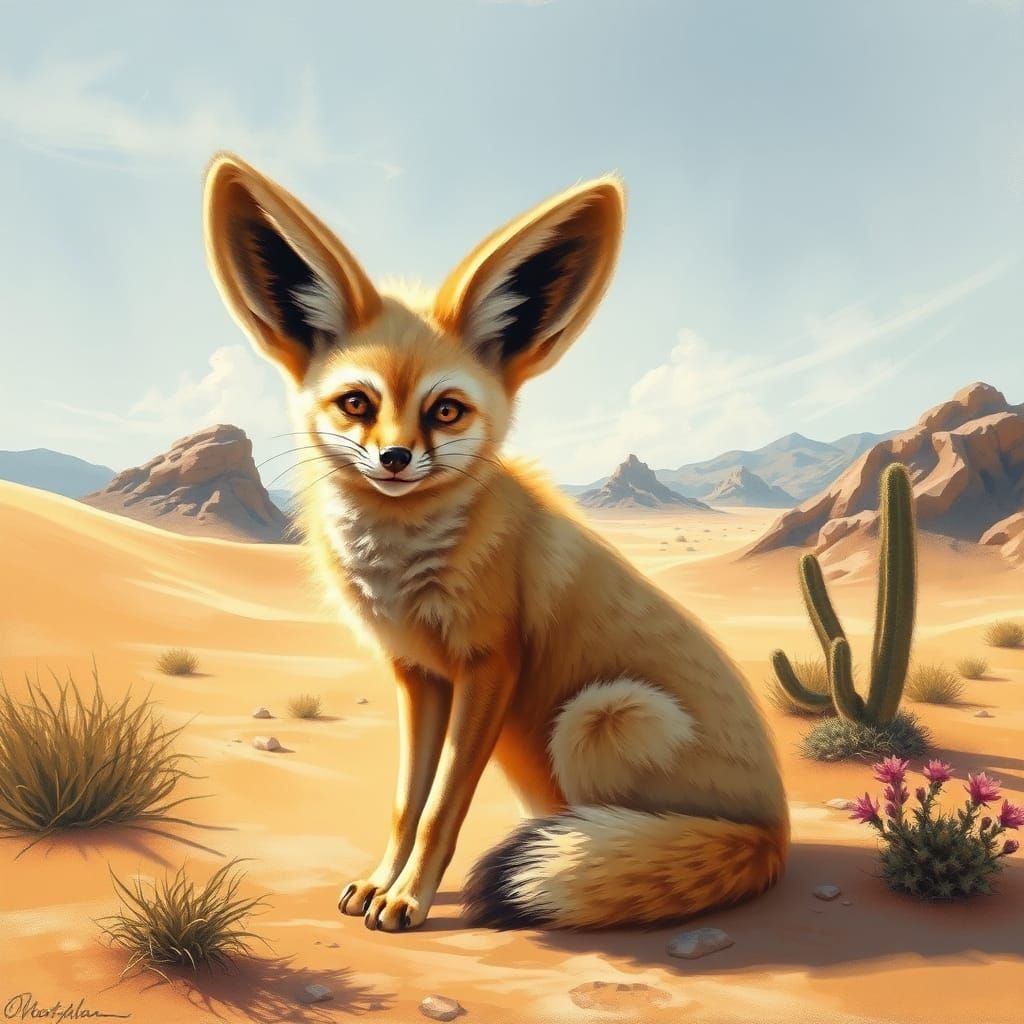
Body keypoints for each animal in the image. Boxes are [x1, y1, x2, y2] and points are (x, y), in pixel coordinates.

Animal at [202, 153, 789, 933]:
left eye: (446, 411)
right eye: (357, 403)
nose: (395, 459)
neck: (405, 565)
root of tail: (775, 834)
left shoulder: (488, 666)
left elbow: (439, 810)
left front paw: (408, 899)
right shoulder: (417, 676)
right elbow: (405, 805)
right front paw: (381, 882)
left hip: (603, 717)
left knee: (617, 830)